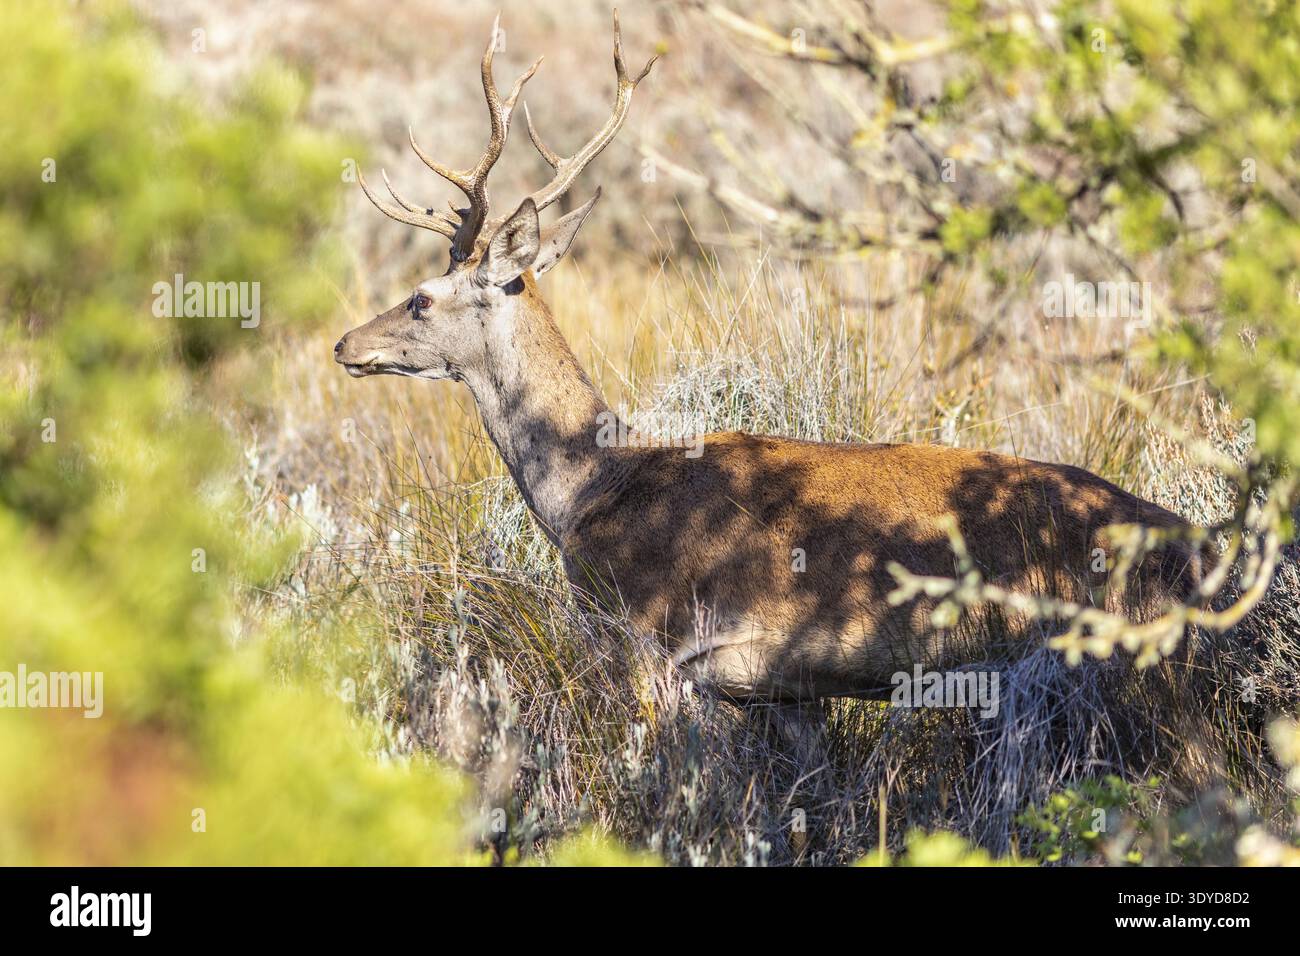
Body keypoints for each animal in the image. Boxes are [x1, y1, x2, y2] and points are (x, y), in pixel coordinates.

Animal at [335, 13, 1210, 749]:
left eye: (422, 297)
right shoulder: (779, 690)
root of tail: (1195, 545)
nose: (345, 343)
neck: (589, 491)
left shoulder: (647, 646)